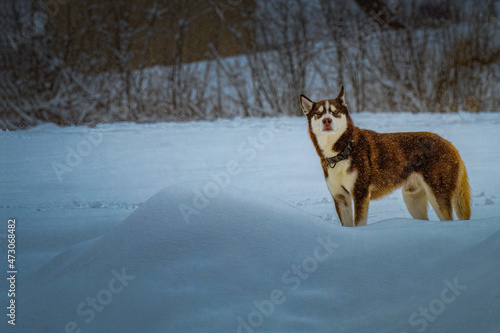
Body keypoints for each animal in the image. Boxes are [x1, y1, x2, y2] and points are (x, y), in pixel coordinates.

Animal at [300, 85, 472, 226]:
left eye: (335, 112)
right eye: (318, 113)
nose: (327, 121)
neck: (343, 151)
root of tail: (449, 144)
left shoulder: (360, 194)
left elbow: (359, 223)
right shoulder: (340, 197)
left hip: (437, 194)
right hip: (412, 198)